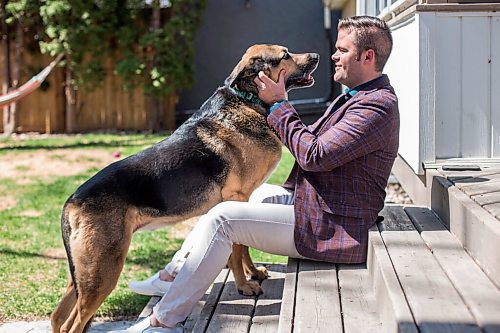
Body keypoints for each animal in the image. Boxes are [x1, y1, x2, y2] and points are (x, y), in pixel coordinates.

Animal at [49, 44, 316, 332]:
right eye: (285, 55)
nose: (317, 56)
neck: (247, 99)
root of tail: (71, 201)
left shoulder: (242, 202)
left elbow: (243, 249)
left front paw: (253, 273)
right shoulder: (236, 198)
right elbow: (236, 252)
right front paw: (245, 285)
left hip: (84, 272)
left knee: (57, 317)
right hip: (103, 270)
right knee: (71, 324)